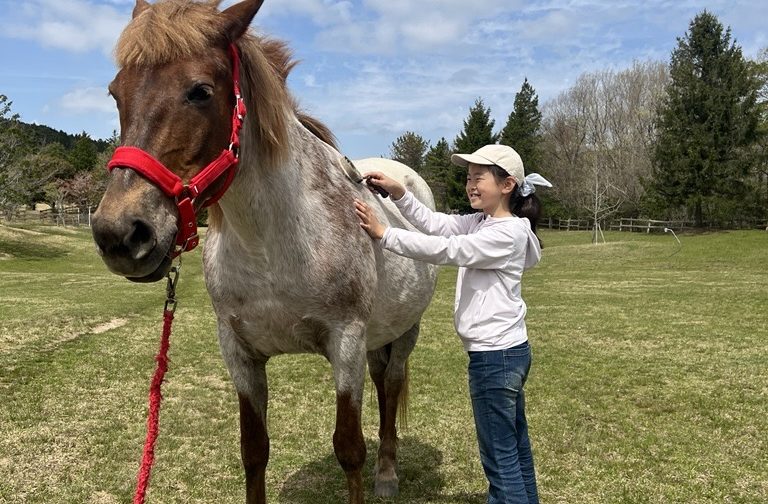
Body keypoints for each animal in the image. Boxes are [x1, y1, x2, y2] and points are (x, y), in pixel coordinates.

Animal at [90, 0, 438, 502]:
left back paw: (388, 473)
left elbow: (349, 450)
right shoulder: (239, 351)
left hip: (405, 330)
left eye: (200, 92)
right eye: (117, 93)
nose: (119, 233)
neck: (271, 246)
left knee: (390, 385)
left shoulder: (346, 342)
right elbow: (254, 451)